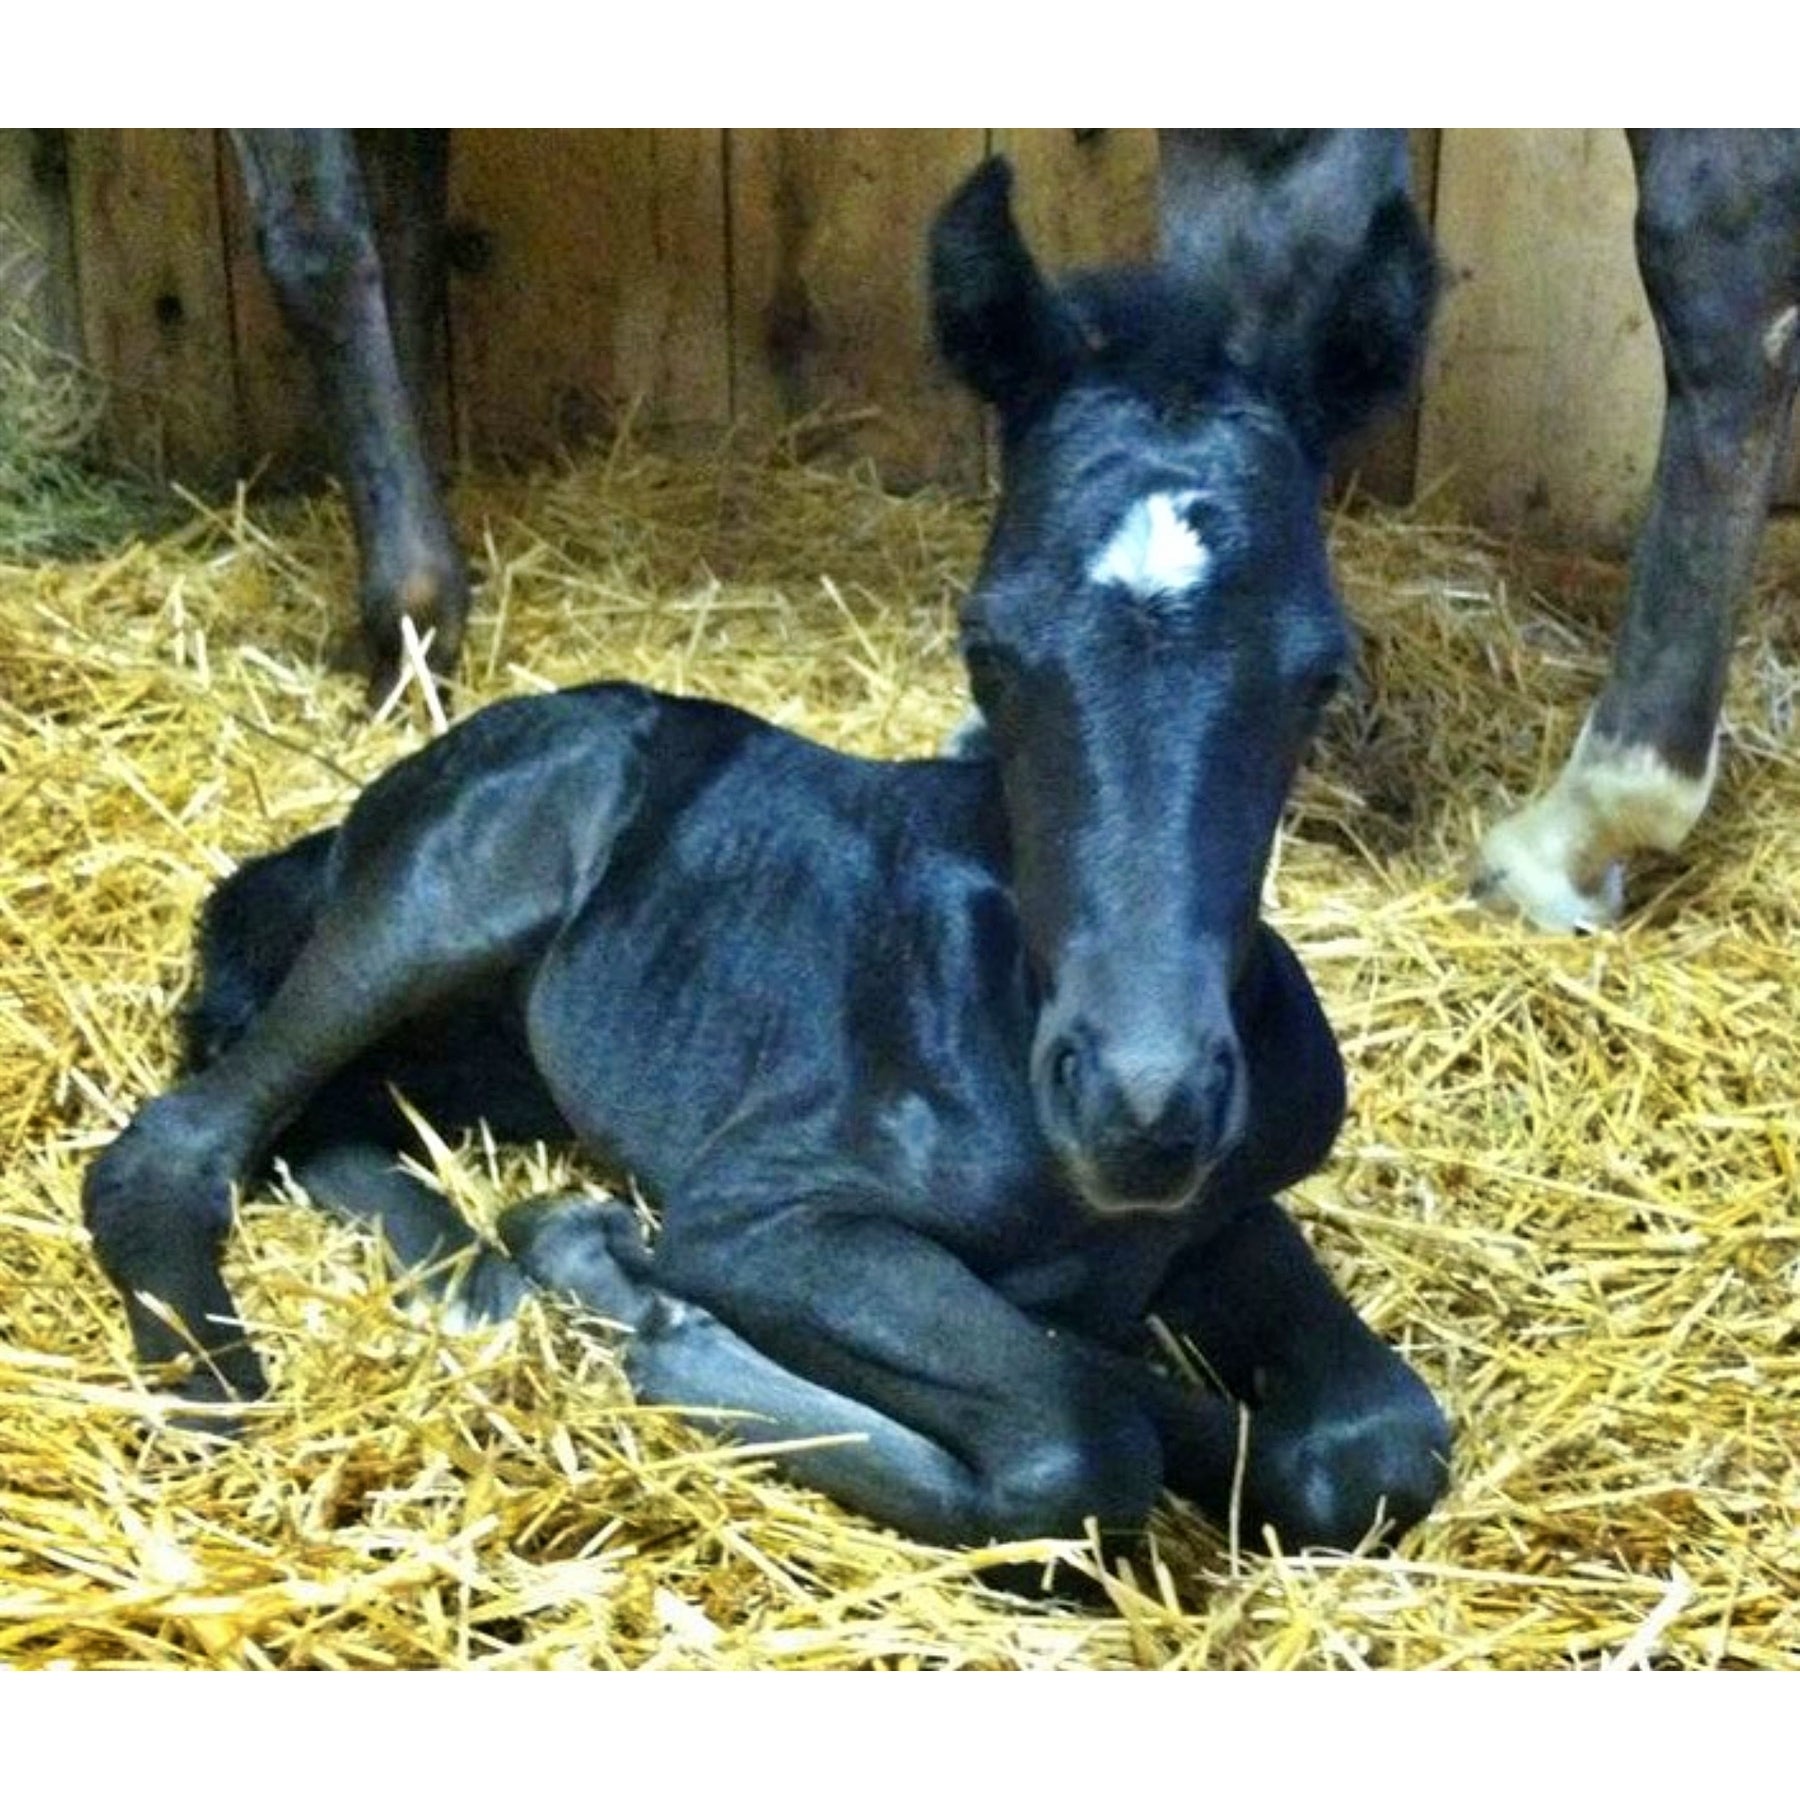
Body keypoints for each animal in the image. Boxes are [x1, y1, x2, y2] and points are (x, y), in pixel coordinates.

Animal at [82, 156, 1450, 1553]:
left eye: (1320, 674)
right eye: (986, 647)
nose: (1143, 1108)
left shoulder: (1225, 1219)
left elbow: (1370, 1446)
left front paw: (596, 1264)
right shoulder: (766, 1213)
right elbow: (1079, 1431)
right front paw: (649, 1307)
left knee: (322, 1125)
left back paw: (487, 1280)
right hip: (465, 879)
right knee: (180, 1142)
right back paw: (224, 1387)